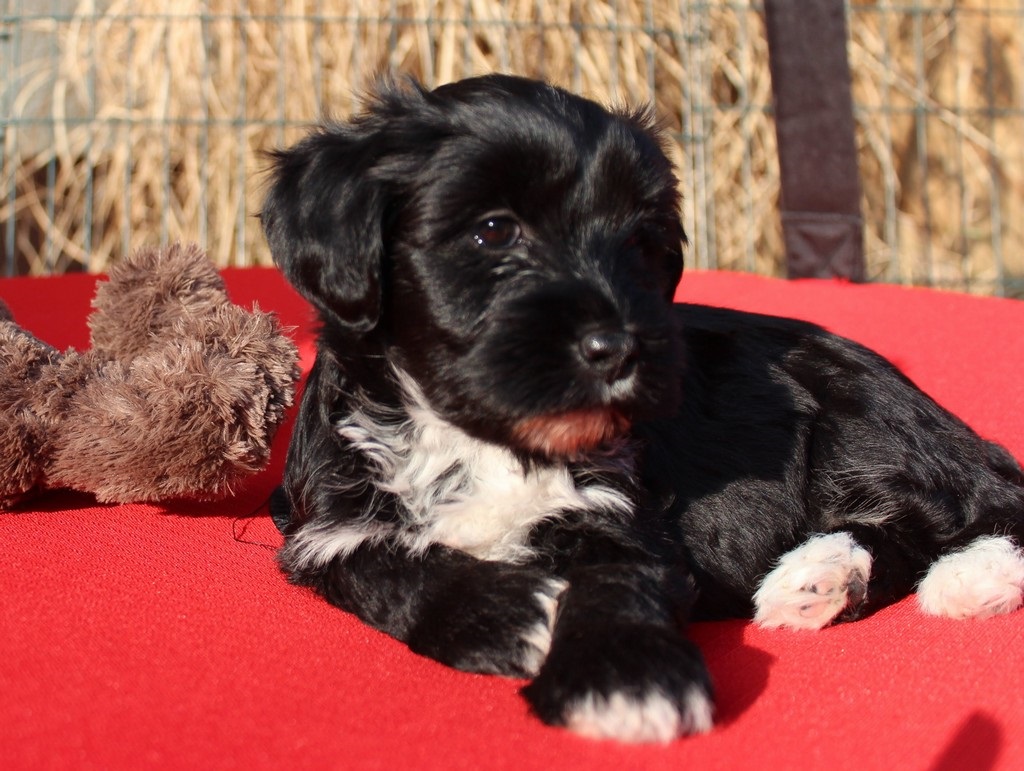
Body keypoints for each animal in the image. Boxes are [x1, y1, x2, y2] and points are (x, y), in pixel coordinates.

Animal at [260, 74, 1024, 743]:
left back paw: (954, 573)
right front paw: (505, 612)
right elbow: (379, 563)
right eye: (494, 231)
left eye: (637, 242)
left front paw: (624, 678)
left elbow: (619, 577)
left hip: (856, 417)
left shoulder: (620, 510)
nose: (619, 346)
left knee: (972, 504)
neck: (484, 438)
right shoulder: (325, 519)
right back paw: (822, 577)